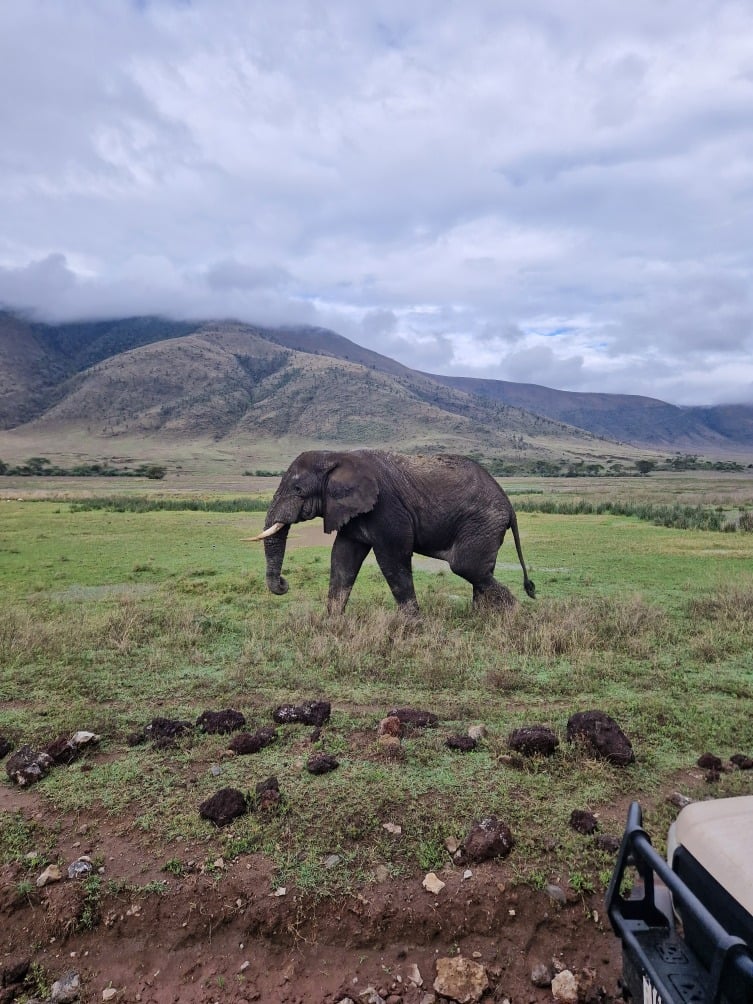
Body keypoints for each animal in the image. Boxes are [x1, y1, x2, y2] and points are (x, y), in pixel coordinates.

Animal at [251, 449, 536, 615]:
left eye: (298, 490)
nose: (284, 584)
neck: (337, 456)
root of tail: (509, 505)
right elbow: (343, 559)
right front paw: (331, 624)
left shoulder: (386, 506)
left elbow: (392, 558)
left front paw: (412, 627)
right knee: (481, 572)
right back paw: (484, 618)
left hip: (482, 522)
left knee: (467, 567)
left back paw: (515, 616)